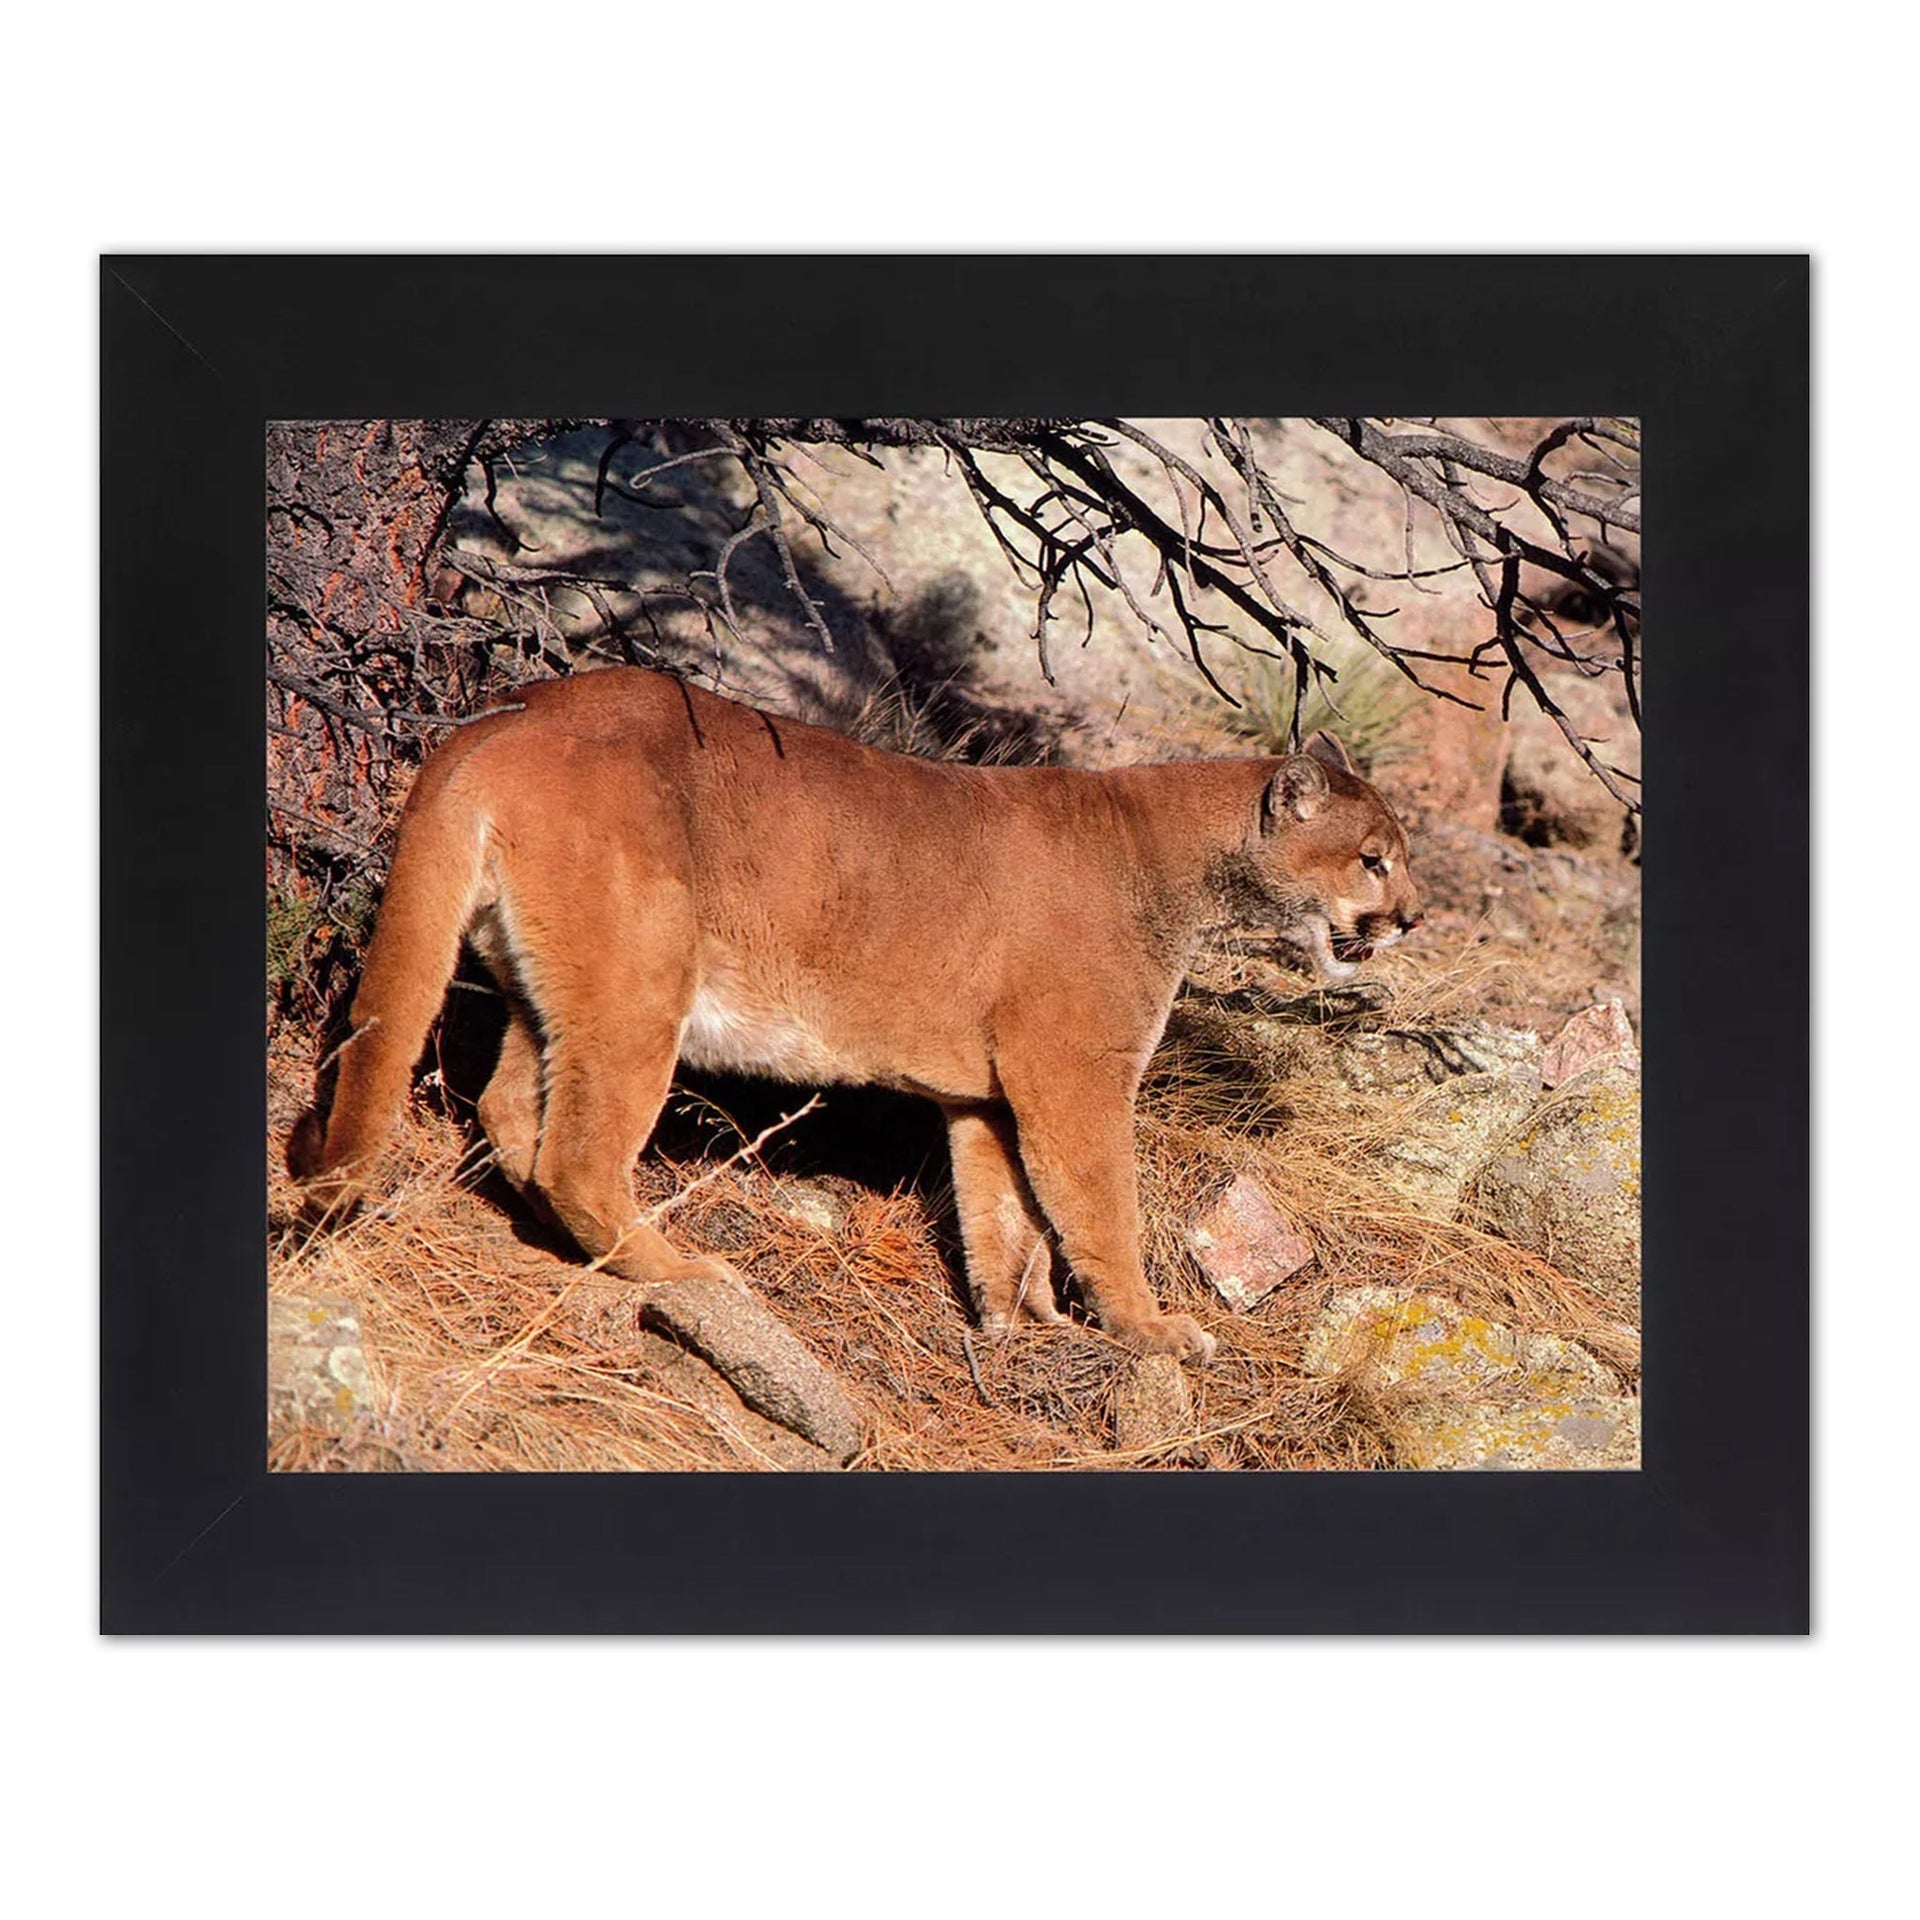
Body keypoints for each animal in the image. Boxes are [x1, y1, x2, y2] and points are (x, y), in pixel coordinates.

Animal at [289, 667, 1422, 1363]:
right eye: (1374, 858)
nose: (1413, 917)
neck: (1175, 856)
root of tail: (505, 716)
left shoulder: (989, 1097)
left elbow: (1004, 1217)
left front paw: (1025, 1325)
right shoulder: (1075, 1076)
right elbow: (1101, 1209)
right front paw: (1150, 1329)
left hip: (553, 984)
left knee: (510, 1111)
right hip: (644, 982)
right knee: (576, 1150)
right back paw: (684, 1270)